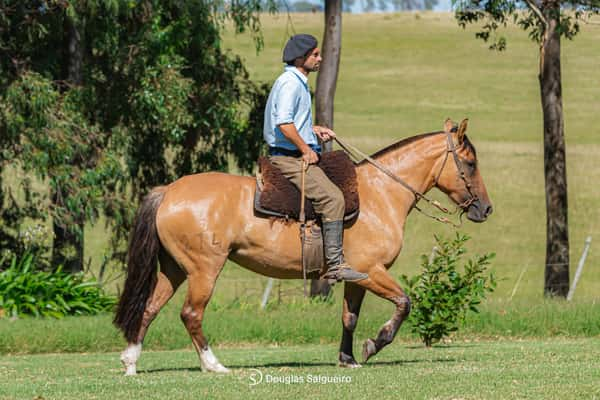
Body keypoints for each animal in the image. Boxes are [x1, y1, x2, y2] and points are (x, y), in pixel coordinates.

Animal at [113, 118, 492, 376]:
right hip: (204, 270)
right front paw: (374, 344)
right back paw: (214, 364)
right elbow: (404, 303)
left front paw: (348, 358)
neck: (381, 194)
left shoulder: (357, 278)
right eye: (470, 163)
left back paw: (131, 362)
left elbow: (349, 318)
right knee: (191, 314)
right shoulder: (372, 272)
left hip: (175, 270)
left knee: (149, 308)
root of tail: (168, 191)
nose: (485, 209)